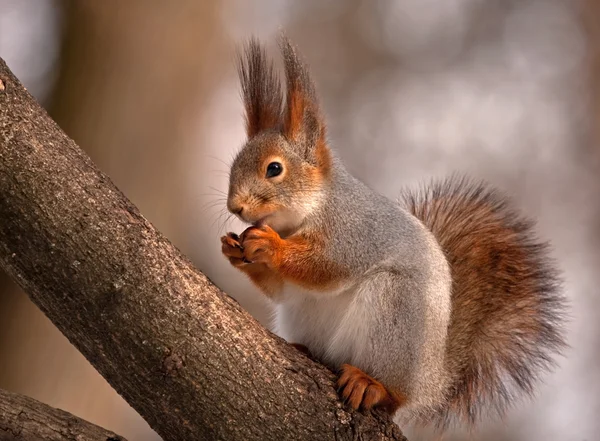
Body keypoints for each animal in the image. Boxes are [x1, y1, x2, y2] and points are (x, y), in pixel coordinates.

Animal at [221, 36, 568, 428]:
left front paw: (270, 247)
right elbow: (282, 290)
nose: (235, 207)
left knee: (393, 396)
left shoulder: (355, 231)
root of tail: (430, 381)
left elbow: (327, 266)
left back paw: (372, 385)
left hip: (396, 314)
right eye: (235, 163)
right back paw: (303, 349)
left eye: (274, 169)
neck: (305, 214)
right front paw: (236, 251)